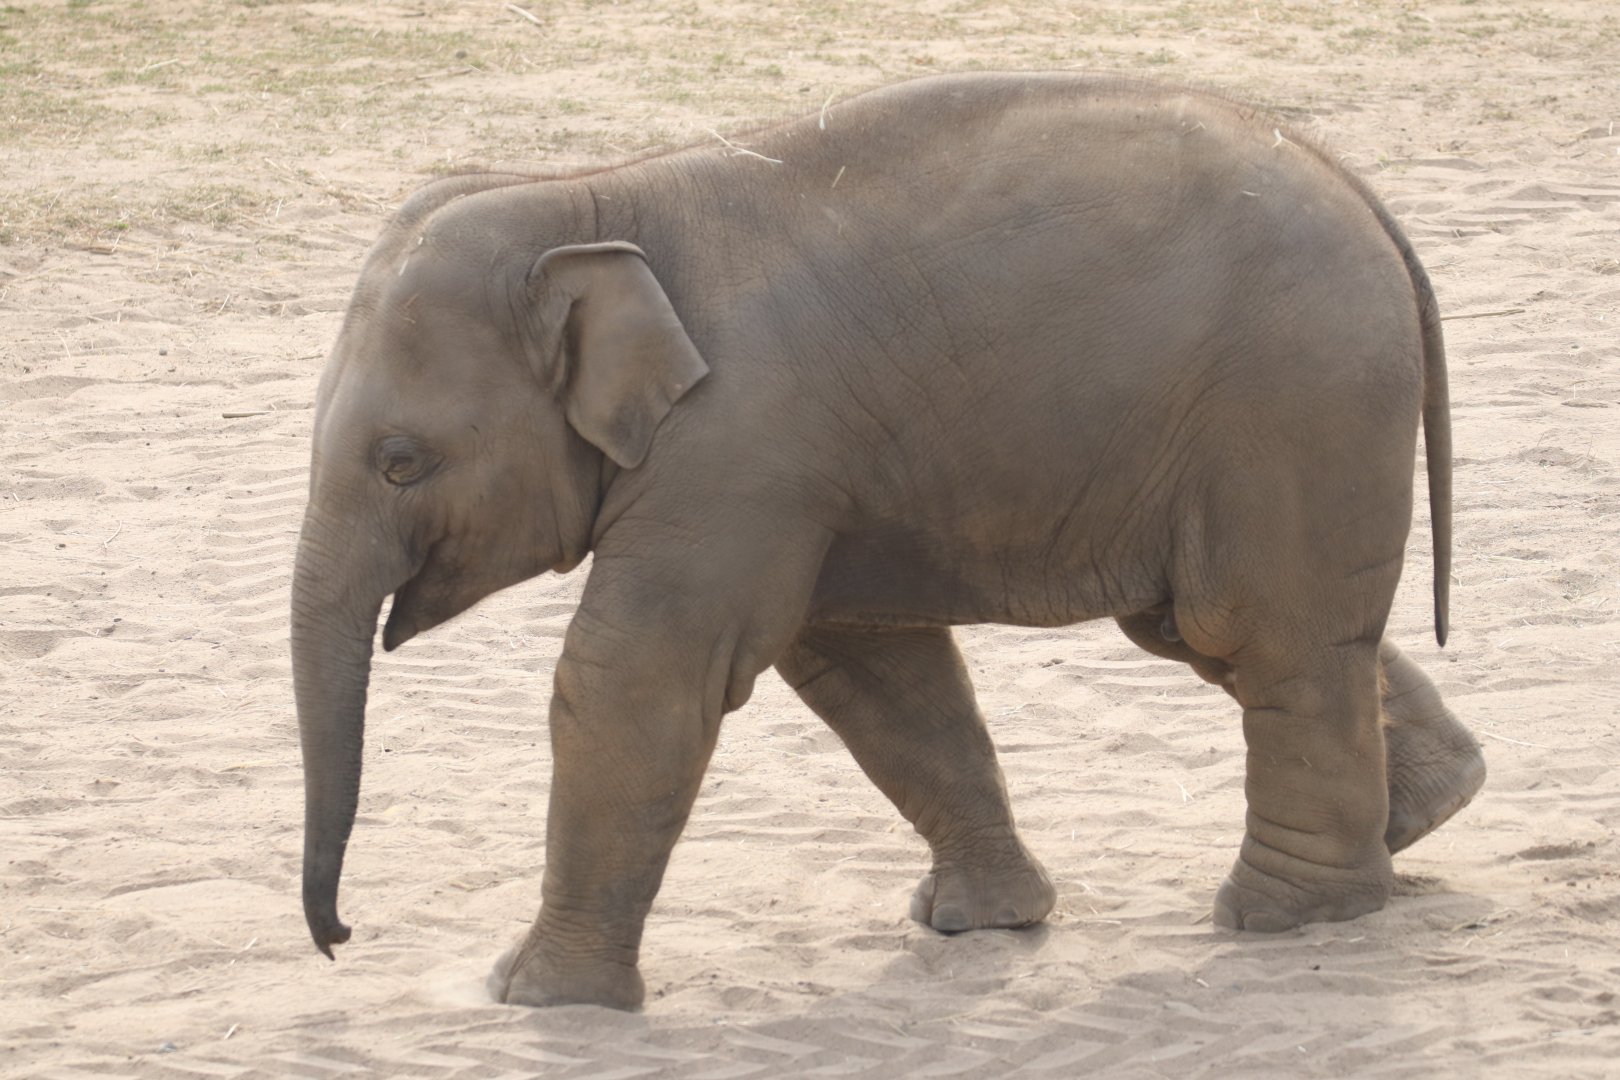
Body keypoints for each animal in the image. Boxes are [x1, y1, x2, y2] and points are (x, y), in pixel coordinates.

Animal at [291, 72, 1485, 1010]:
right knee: (1221, 628)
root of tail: (1357, 187)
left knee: (1262, 634)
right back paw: (1428, 812)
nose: (341, 939)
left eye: (400, 461)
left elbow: (637, 676)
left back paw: (1285, 918)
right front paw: (983, 921)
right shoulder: (802, 475)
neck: (590, 191)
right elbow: (872, 669)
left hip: (1294, 403)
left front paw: (534, 998)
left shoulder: (738, 448)